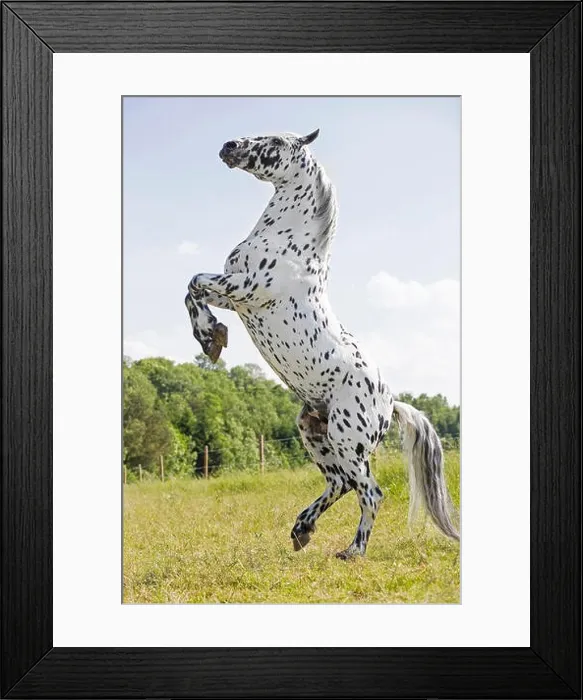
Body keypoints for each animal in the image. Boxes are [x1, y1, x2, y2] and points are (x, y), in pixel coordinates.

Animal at [185, 129, 459, 559]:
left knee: (370, 492)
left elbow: (194, 280)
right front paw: (210, 337)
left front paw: (210, 337)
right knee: (340, 483)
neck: (288, 242)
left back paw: (352, 550)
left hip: (347, 439)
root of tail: (391, 403)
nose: (229, 146)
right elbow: (191, 292)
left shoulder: (246, 289)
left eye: (275, 141)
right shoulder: (235, 297)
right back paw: (302, 529)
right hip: (314, 431)